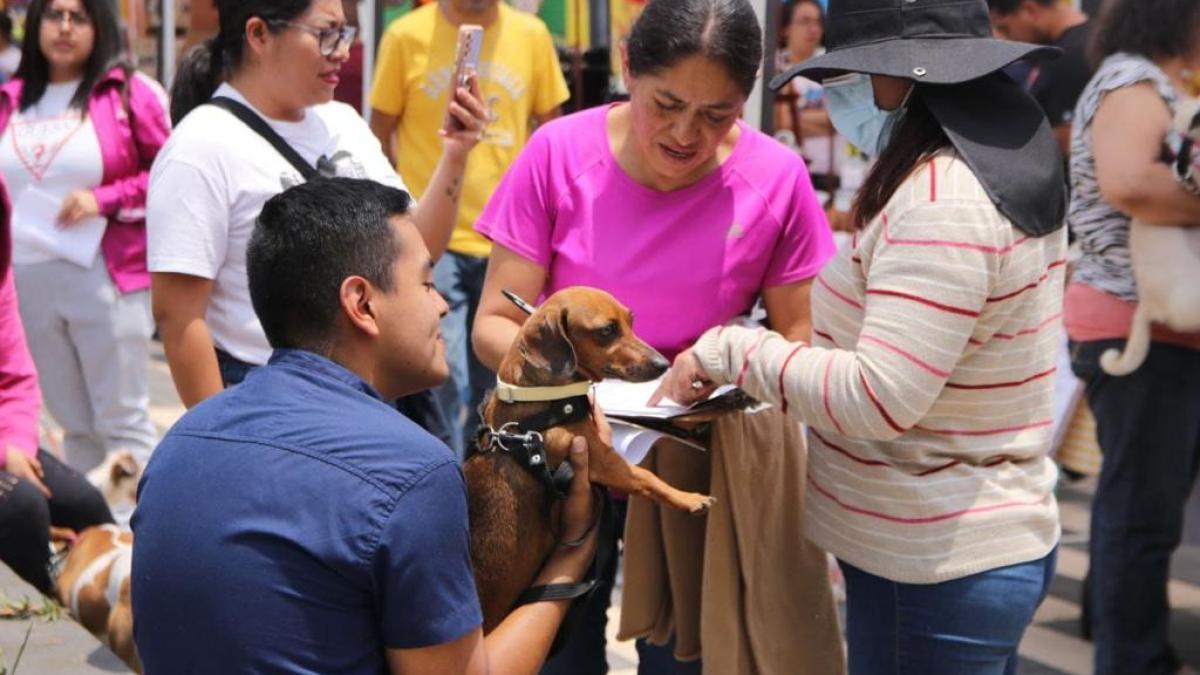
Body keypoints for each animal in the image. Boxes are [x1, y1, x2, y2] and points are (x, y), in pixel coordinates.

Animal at [465, 285, 710, 629]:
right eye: (606, 331)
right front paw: (689, 499)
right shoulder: (604, 460)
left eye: (631, 320)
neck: (538, 397)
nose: (664, 364)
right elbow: (648, 478)